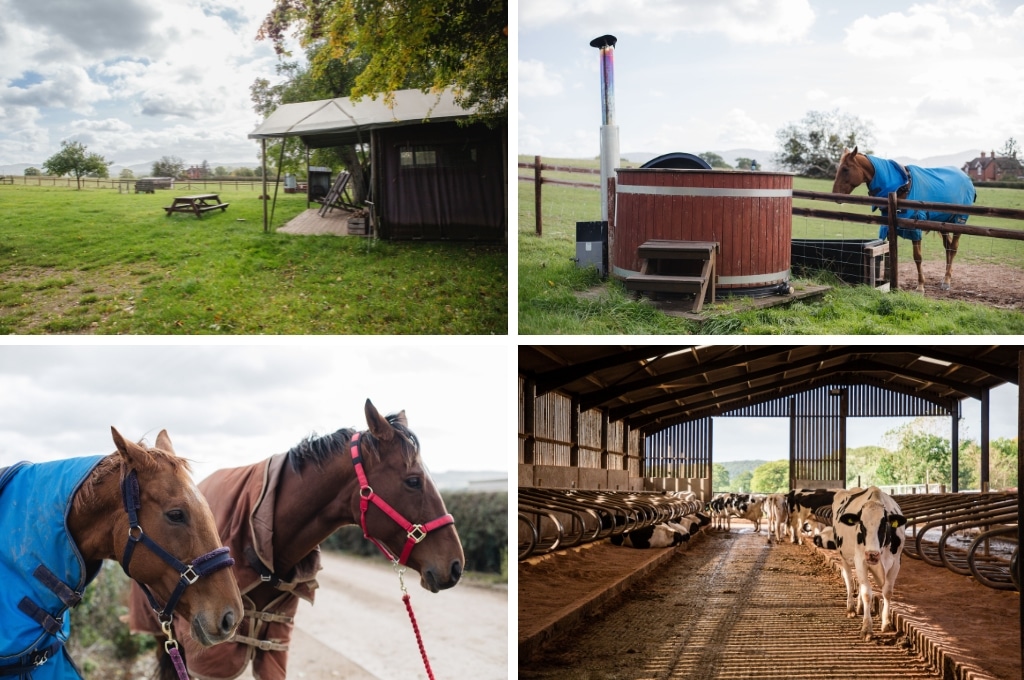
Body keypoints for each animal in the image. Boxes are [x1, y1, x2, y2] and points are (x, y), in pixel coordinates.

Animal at [831, 147, 974, 290]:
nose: (834, 194)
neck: (901, 188)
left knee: (953, 248)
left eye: (845, 169)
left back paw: (947, 281)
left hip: (959, 222)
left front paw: (920, 285)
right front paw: (892, 284)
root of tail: (967, 179)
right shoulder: (889, 229)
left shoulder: (915, 229)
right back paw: (945, 278)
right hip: (943, 223)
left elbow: (917, 257)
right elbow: (890, 254)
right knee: (948, 247)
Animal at [831, 485, 905, 639]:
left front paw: (886, 623)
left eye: (883, 525)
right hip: (843, 556)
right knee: (849, 579)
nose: (872, 554)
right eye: (861, 524)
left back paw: (859, 607)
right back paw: (851, 608)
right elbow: (867, 594)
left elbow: (887, 592)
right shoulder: (861, 560)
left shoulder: (896, 562)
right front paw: (866, 628)